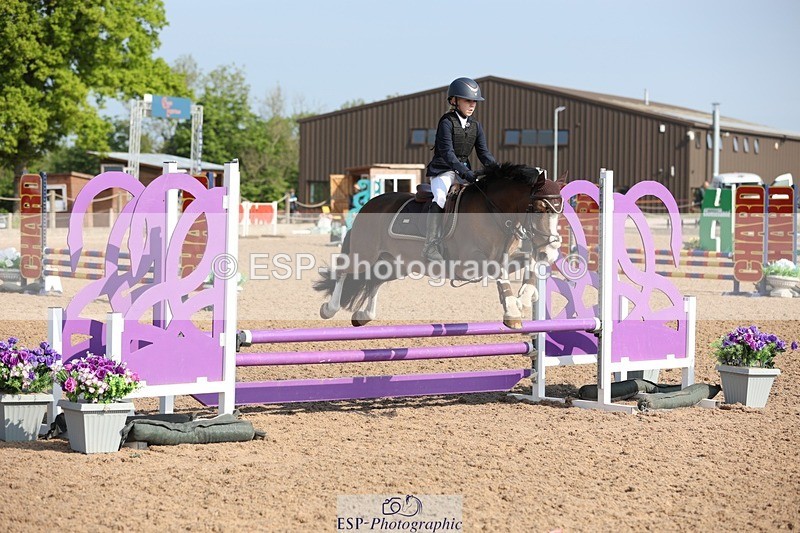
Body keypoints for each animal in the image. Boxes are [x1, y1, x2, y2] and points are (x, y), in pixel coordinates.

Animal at [313, 163, 565, 329]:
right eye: (540, 209)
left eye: (559, 211)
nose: (551, 252)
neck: (494, 211)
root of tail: (368, 205)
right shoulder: (471, 263)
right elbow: (501, 274)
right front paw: (512, 311)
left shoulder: (505, 257)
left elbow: (528, 262)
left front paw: (525, 297)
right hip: (365, 255)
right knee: (344, 271)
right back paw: (329, 309)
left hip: (396, 264)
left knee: (375, 280)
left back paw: (364, 314)